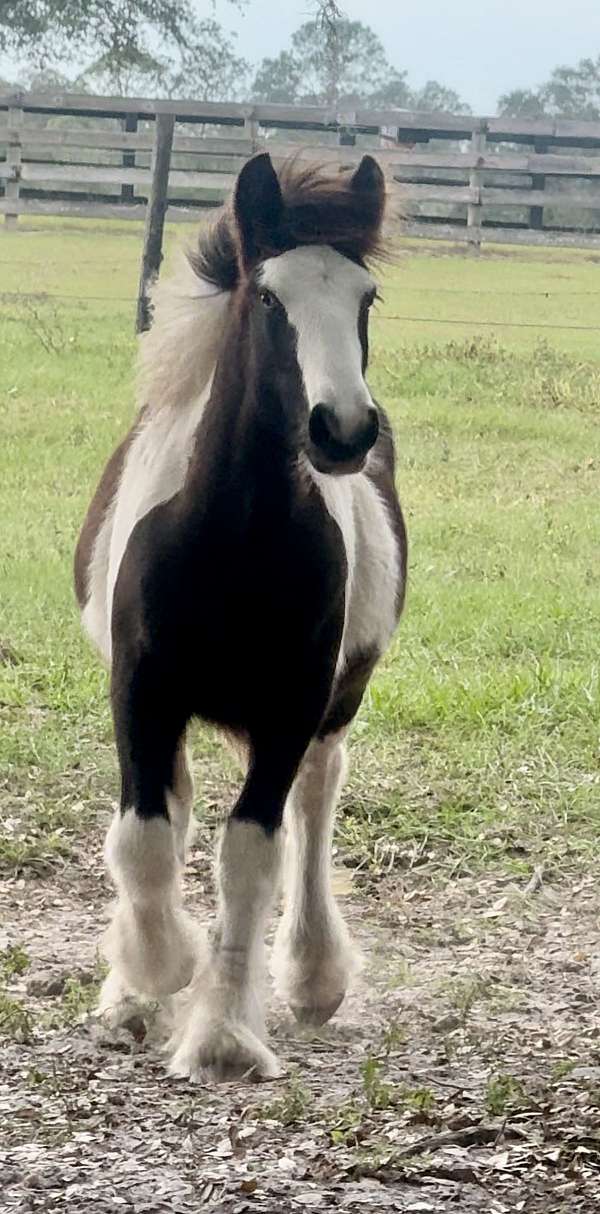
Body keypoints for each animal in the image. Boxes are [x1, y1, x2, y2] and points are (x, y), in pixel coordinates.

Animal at [72, 154, 405, 1082]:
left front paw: (221, 1034)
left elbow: (253, 854)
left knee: (315, 802)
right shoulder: (141, 688)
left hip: (336, 700)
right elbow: (144, 839)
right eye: (268, 298)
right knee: (176, 809)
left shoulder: (292, 706)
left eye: (365, 298)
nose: (343, 430)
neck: (232, 542)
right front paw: (153, 972)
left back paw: (314, 976)